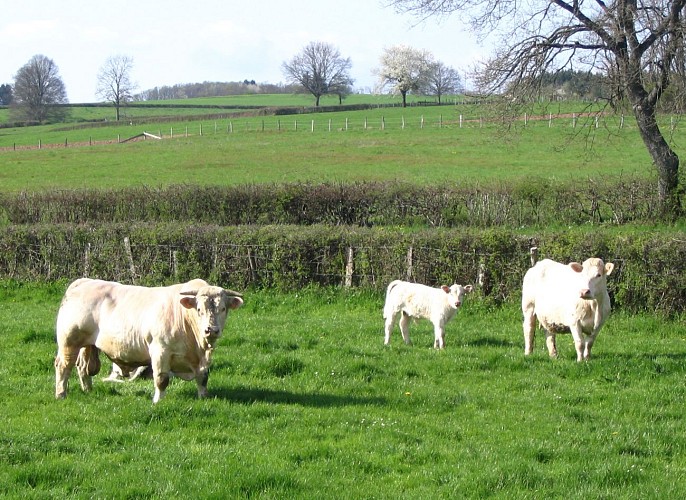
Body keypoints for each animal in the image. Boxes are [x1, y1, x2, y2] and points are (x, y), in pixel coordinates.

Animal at [54, 278, 243, 403]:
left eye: (223, 308)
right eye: (199, 309)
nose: (211, 330)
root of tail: (83, 281)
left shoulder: (203, 359)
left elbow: (203, 378)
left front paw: (204, 397)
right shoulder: (160, 350)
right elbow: (161, 379)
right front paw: (158, 401)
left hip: (86, 344)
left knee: (82, 367)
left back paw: (88, 390)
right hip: (69, 341)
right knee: (64, 366)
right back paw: (61, 394)